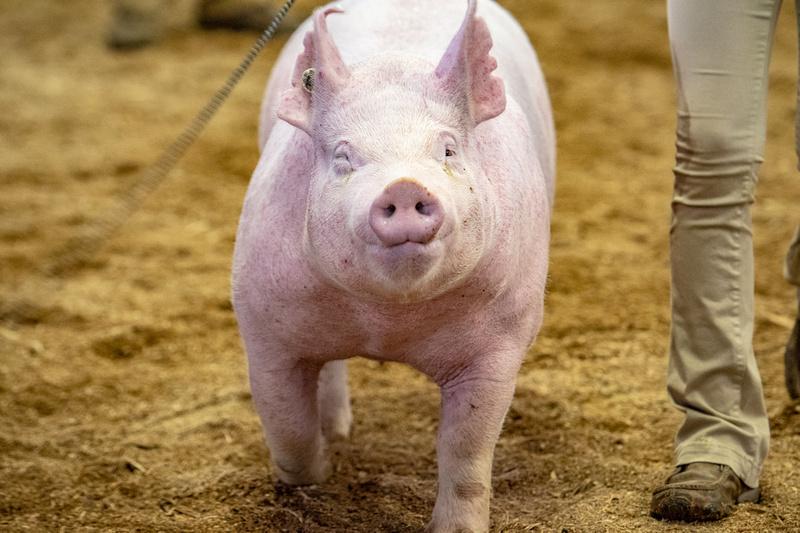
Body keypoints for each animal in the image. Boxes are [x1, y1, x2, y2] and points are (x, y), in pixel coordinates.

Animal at [233, 1, 556, 528]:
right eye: (344, 157)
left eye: (447, 150)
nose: (404, 186)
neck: (386, 325)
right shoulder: (263, 329)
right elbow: (288, 432)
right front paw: (316, 477)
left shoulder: (500, 345)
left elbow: (465, 450)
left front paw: (457, 529)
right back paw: (338, 431)